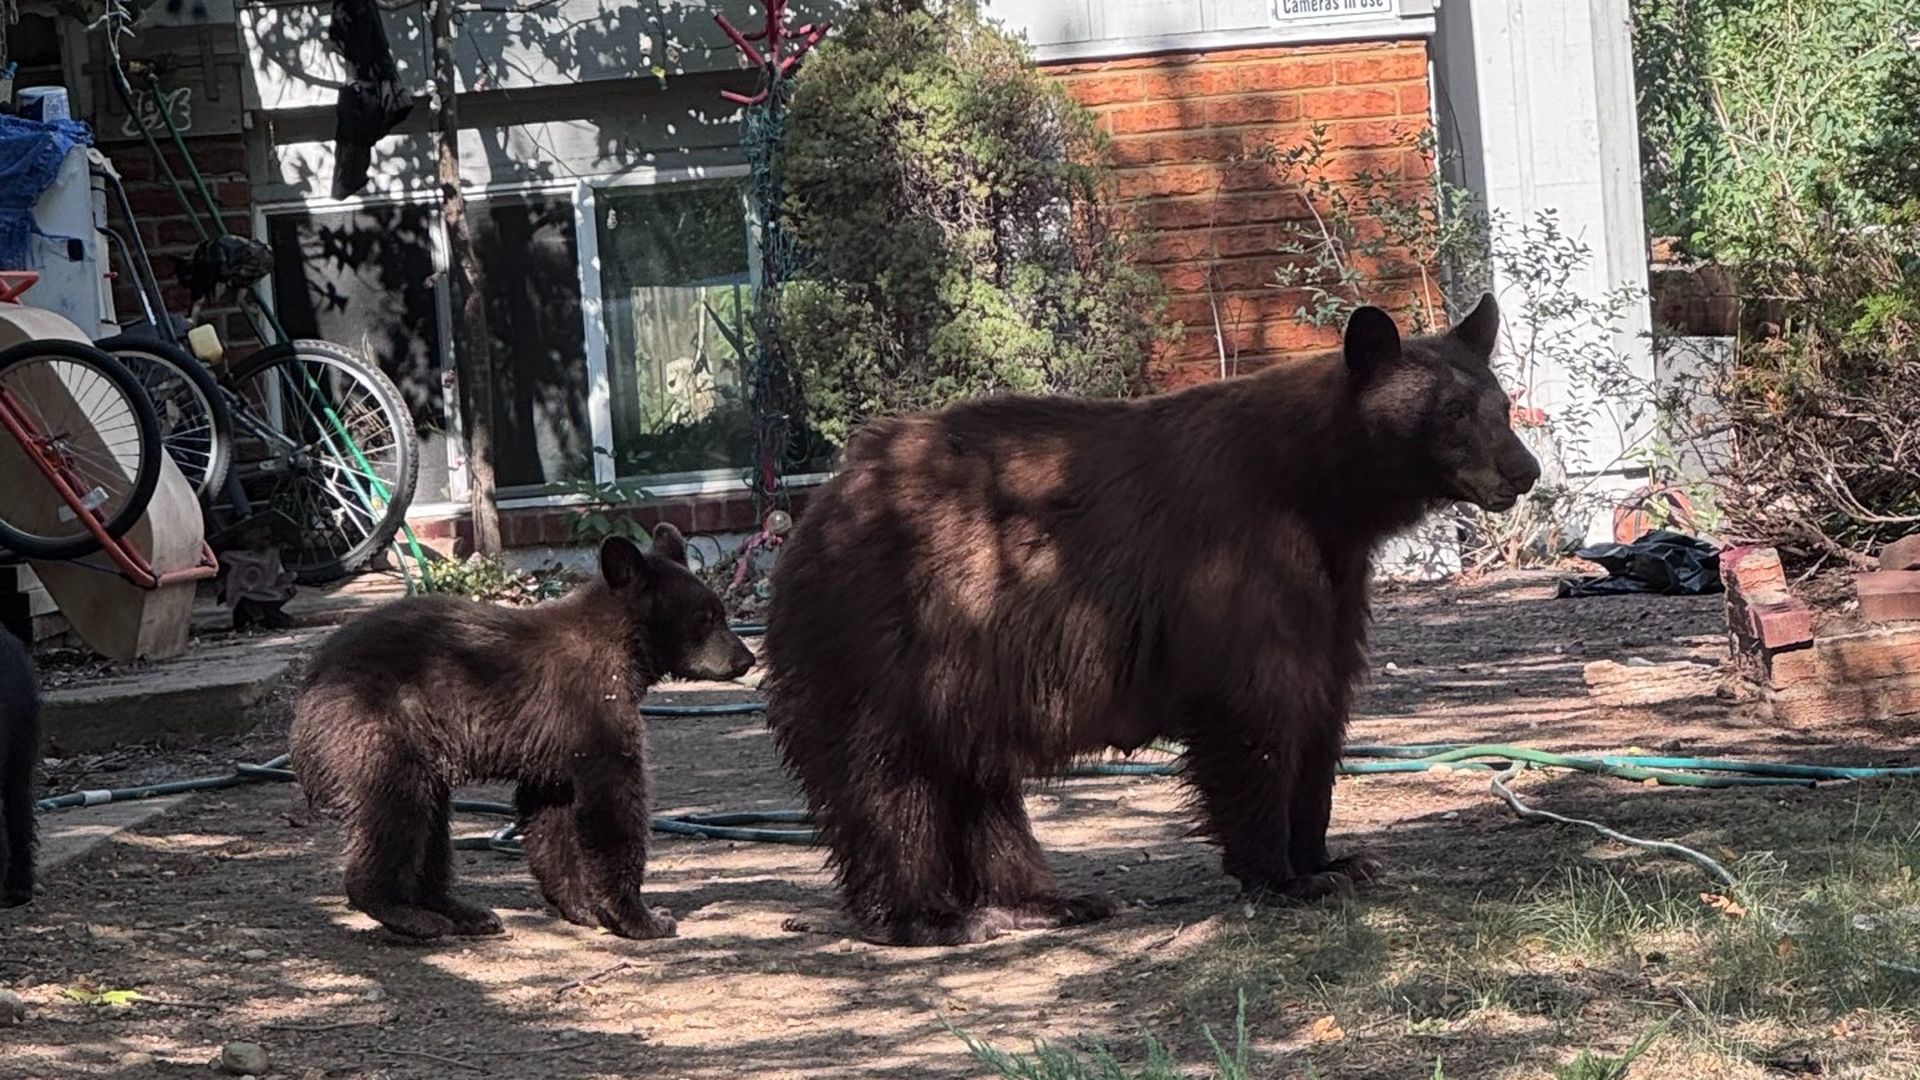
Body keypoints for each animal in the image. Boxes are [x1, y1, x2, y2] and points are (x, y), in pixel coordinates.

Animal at [291, 524, 755, 941]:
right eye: (704, 617)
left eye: (721, 611)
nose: (746, 659)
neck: (621, 650)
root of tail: (309, 689)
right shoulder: (589, 711)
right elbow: (613, 805)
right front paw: (644, 918)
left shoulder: (552, 745)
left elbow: (549, 815)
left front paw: (583, 908)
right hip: (381, 731)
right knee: (397, 812)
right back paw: (410, 916)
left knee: (432, 828)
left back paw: (465, 913)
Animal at [762, 294, 1541, 946]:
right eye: (1452, 411)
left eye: (1500, 403)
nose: (1524, 470)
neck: (1319, 492)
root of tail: (816, 508)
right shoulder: (1235, 563)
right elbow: (1254, 710)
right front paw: (1282, 875)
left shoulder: (1333, 585)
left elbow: (1322, 705)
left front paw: (1333, 858)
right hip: (886, 638)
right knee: (891, 779)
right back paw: (930, 916)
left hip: (965, 668)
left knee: (978, 783)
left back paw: (1044, 901)